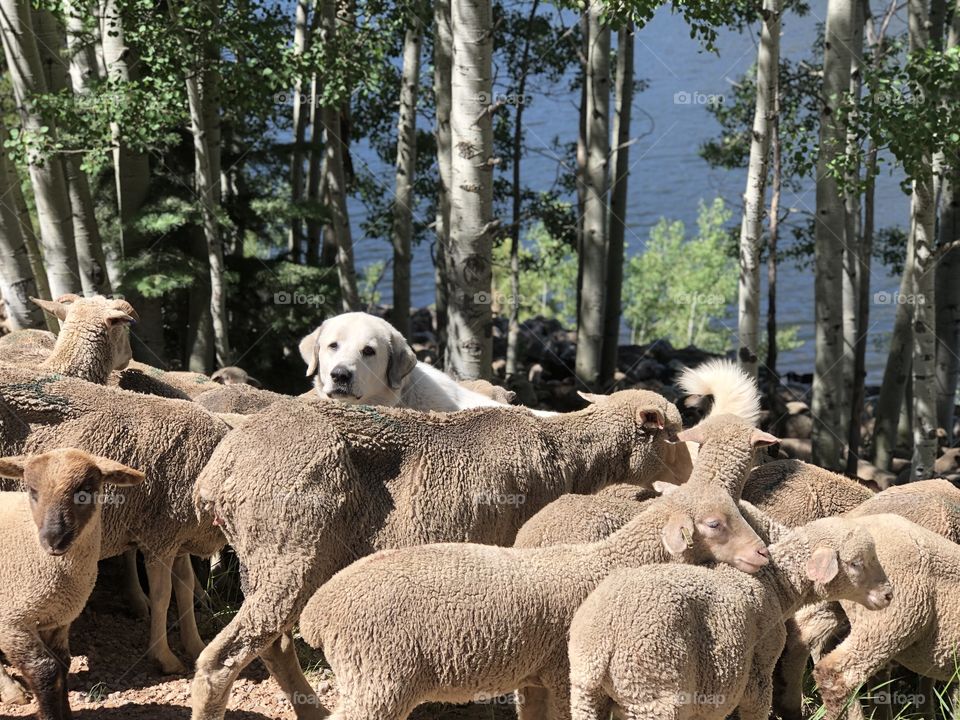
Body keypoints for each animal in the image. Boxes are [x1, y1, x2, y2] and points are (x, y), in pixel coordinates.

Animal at [0, 366, 230, 673]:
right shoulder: (160, 537)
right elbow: (162, 596)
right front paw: (164, 657)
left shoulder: (178, 538)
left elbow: (185, 589)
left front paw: (195, 645)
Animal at [0, 448, 145, 717]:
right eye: (32, 490)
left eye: (86, 490)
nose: (53, 539)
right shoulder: (13, 621)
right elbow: (45, 670)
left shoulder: (58, 620)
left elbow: (62, 664)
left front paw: (65, 713)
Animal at [189, 388, 683, 720]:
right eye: (675, 435)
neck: (566, 456)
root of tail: (219, 472)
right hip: (291, 550)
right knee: (226, 656)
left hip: (266, 559)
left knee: (274, 644)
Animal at [295, 478, 769, 720]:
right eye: (714, 524)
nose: (762, 553)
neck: (605, 563)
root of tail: (317, 612)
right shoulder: (563, 674)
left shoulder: (535, 676)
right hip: (380, 679)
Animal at [567, 515, 892, 720]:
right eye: (856, 563)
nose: (889, 594)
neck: (775, 586)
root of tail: (603, 644)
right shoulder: (759, 669)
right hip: (653, 691)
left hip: (586, 695)